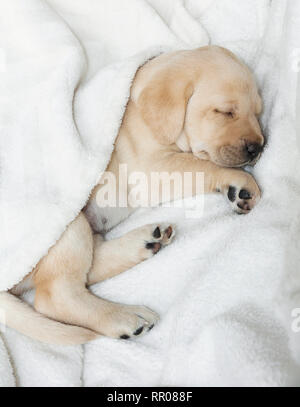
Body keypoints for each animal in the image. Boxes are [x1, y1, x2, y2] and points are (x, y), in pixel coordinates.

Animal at [0, 46, 262, 346]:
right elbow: (202, 165)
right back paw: (123, 317)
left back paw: (146, 241)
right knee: (54, 296)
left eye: (258, 112)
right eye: (226, 112)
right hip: (64, 219)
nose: (258, 147)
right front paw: (240, 181)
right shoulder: (151, 170)